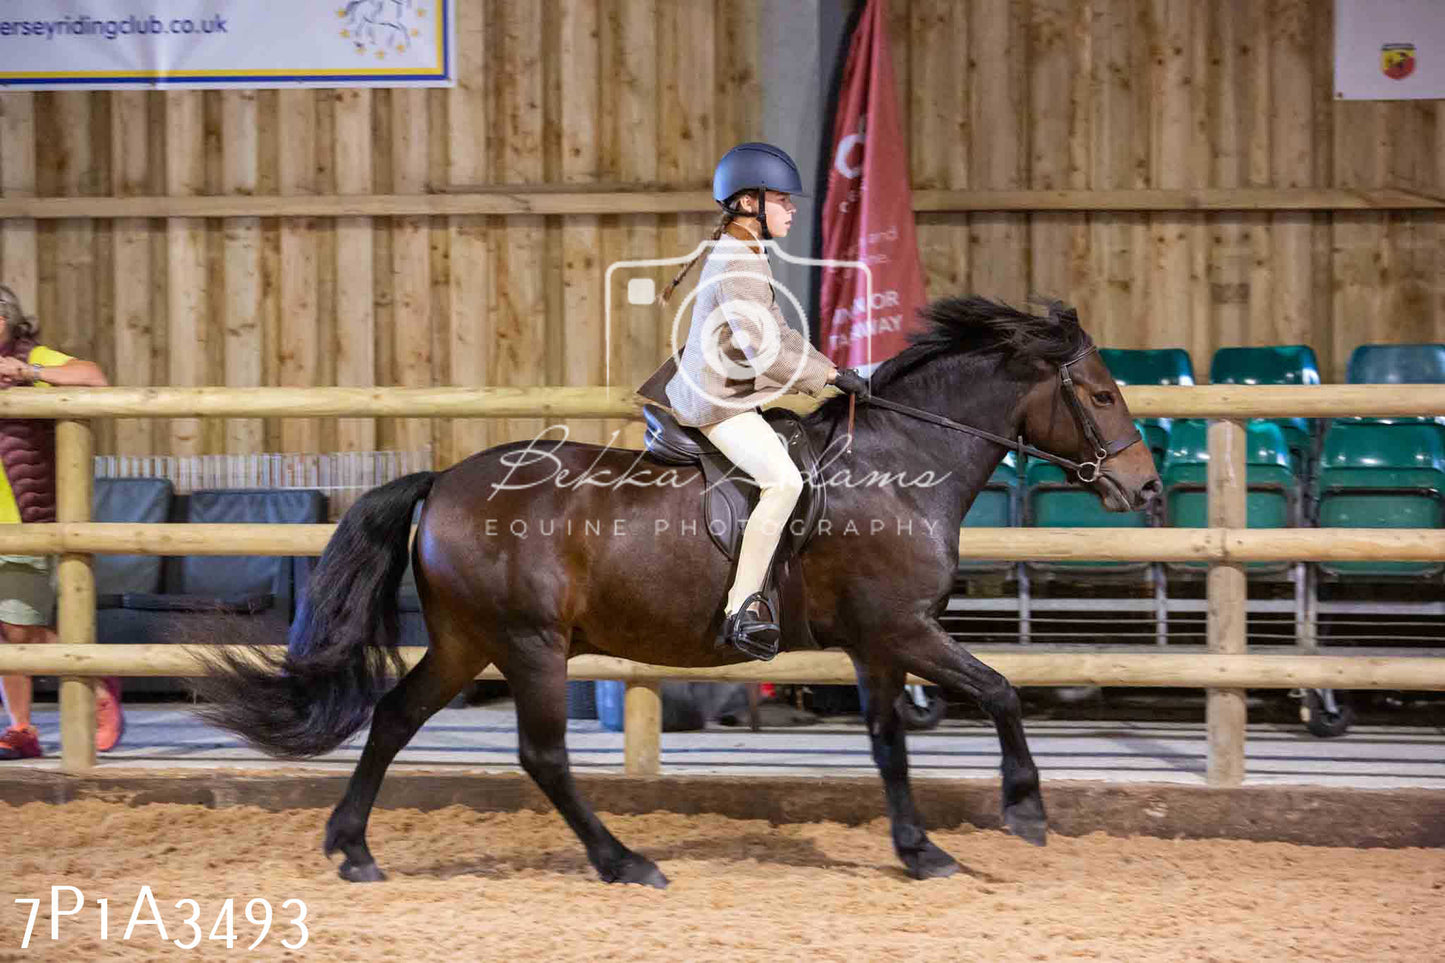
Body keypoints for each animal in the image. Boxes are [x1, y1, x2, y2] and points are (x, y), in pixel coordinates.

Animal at [195, 297, 1161, 884]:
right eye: (1099, 394)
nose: (1146, 490)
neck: (897, 468)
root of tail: (441, 481)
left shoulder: (877, 642)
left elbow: (889, 743)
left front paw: (919, 850)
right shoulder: (905, 629)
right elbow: (1000, 690)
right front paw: (1024, 809)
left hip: (469, 643)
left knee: (395, 715)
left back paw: (352, 846)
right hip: (531, 645)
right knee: (541, 755)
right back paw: (623, 861)